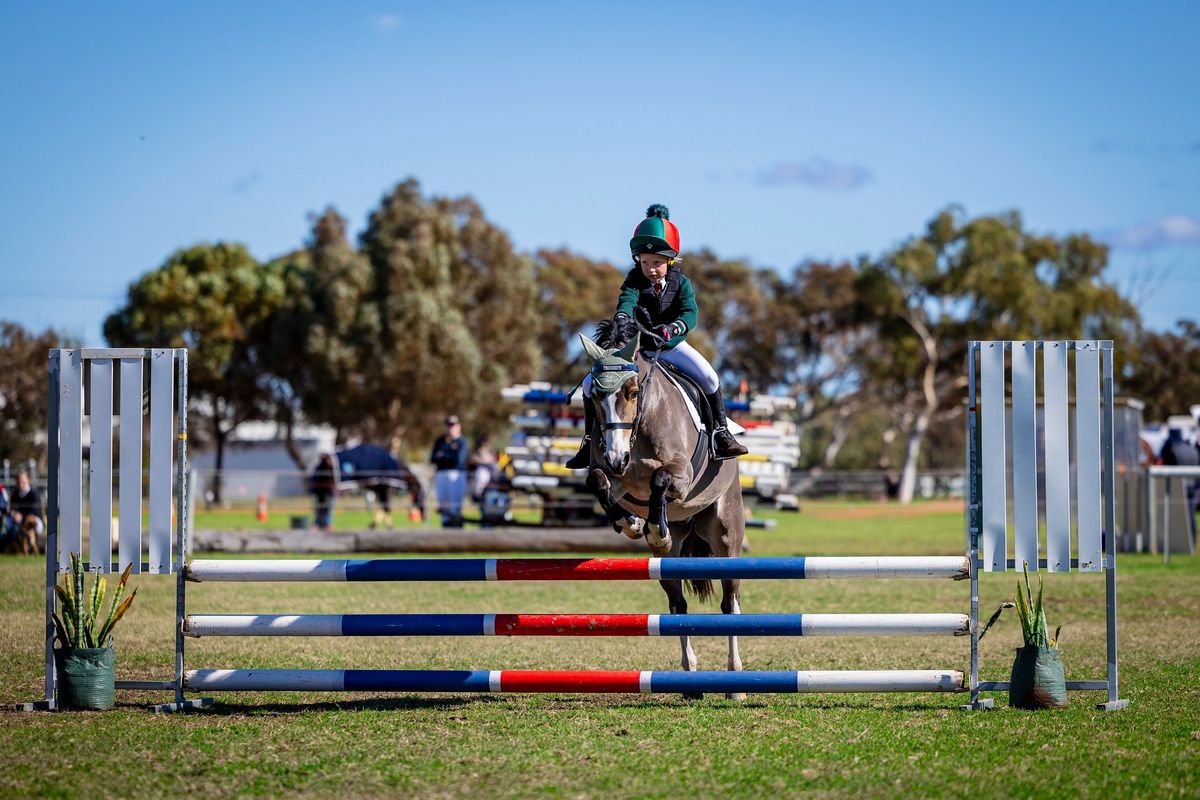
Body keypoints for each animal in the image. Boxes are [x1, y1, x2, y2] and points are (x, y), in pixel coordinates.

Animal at [578, 316, 739, 695]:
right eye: (593, 396)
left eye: (633, 392)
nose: (617, 458)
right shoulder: (615, 475)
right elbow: (598, 481)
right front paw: (631, 523)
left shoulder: (681, 473)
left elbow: (660, 480)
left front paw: (652, 529)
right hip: (668, 564)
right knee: (678, 605)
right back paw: (690, 677)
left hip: (726, 537)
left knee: (730, 604)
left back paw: (735, 679)